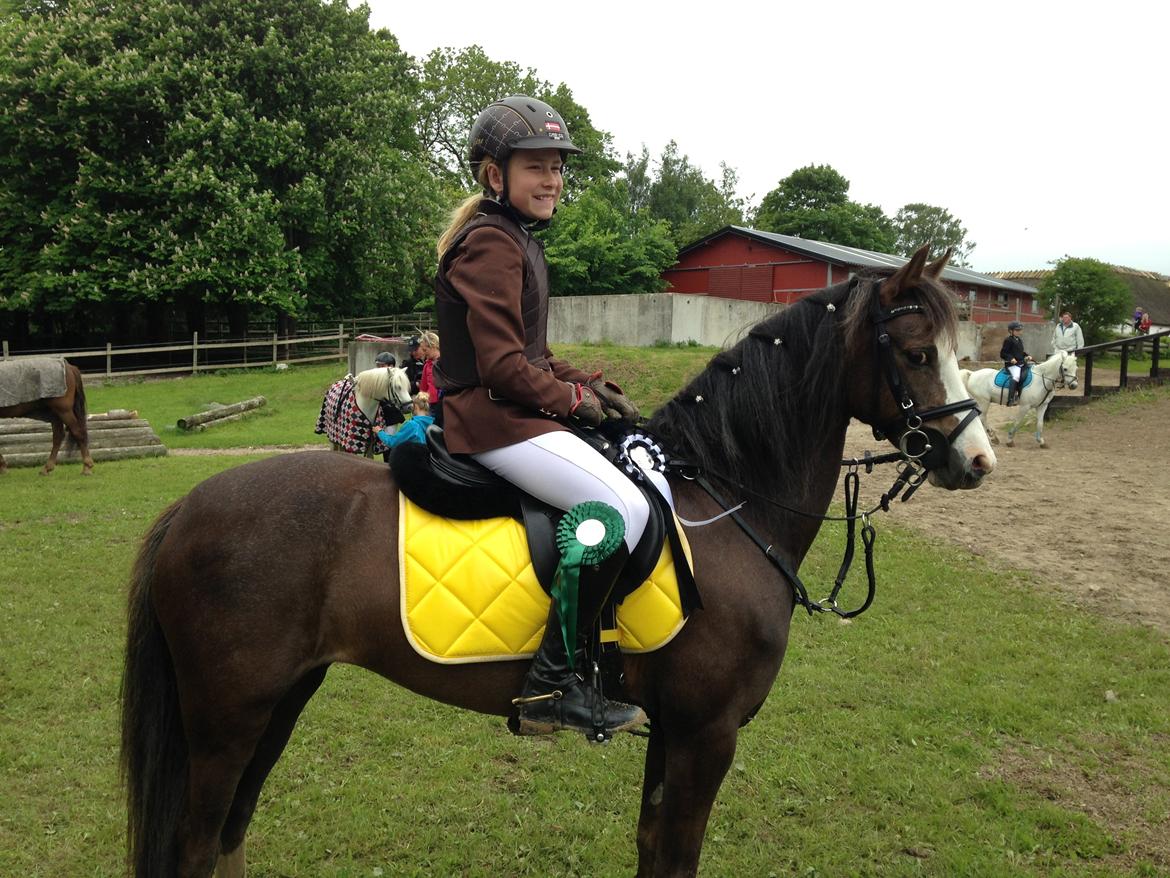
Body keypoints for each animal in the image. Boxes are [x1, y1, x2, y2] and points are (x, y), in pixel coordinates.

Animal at [120, 247, 996, 877]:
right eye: (917, 352)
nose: (979, 461)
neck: (722, 503)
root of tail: (186, 508)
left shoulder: (675, 733)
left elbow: (652, 852)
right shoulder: (707, 734)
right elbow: (677, 858)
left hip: (279, 701)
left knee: (229, 834)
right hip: (228, 716)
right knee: (198, 843)